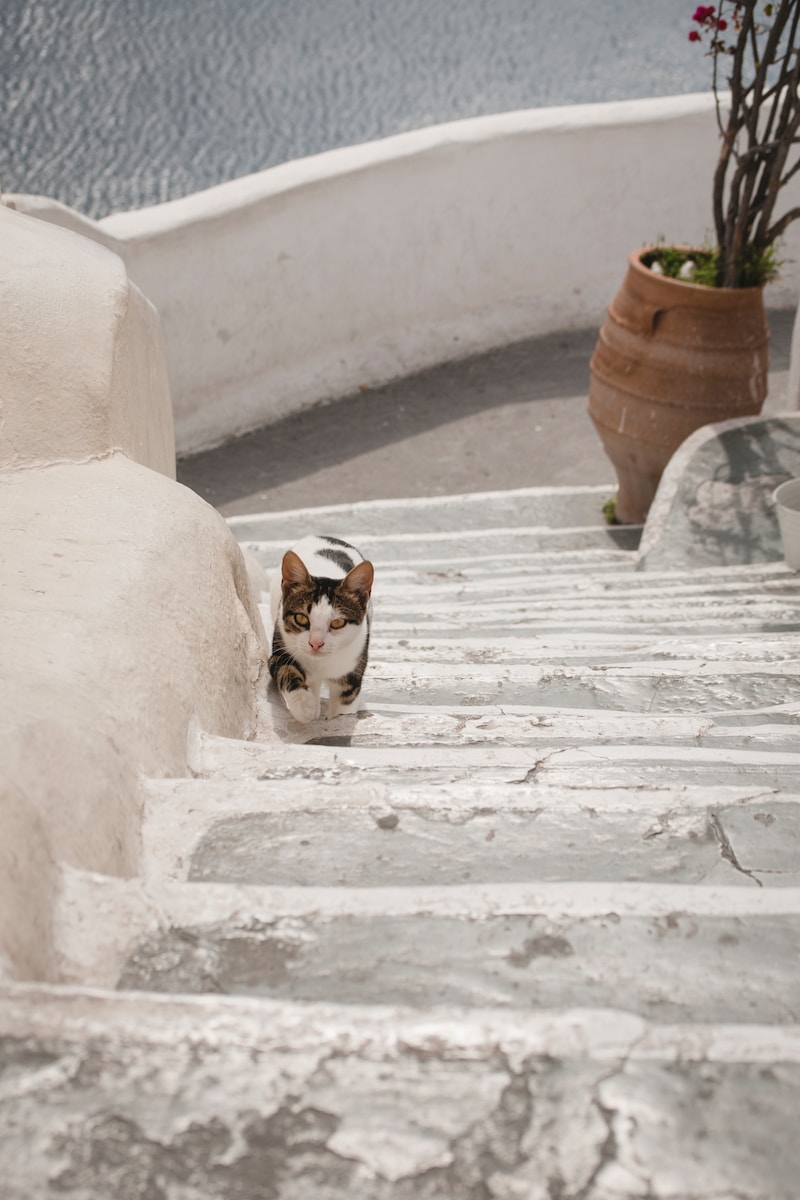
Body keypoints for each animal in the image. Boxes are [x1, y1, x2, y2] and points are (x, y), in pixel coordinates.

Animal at [268, 535, 376, 720]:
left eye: (337, 623)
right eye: (301, 618)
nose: (316, 643)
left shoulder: (352, 673)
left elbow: (344, 706)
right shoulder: (279, 650)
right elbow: (286, 669)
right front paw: (304, 706)